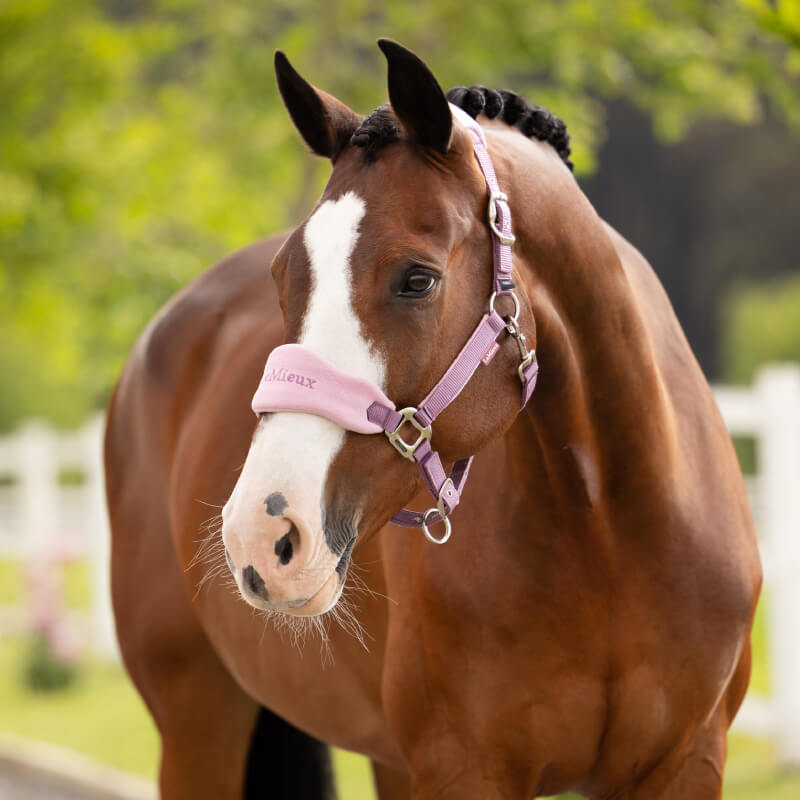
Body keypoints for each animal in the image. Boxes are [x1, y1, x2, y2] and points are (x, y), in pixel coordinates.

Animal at [104, 39, 761, 800]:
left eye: (417, 279)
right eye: (282, 276)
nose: (260, 533)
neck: (610, 532)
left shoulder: (688, 761)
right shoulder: (460, 767)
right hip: (198, 727)